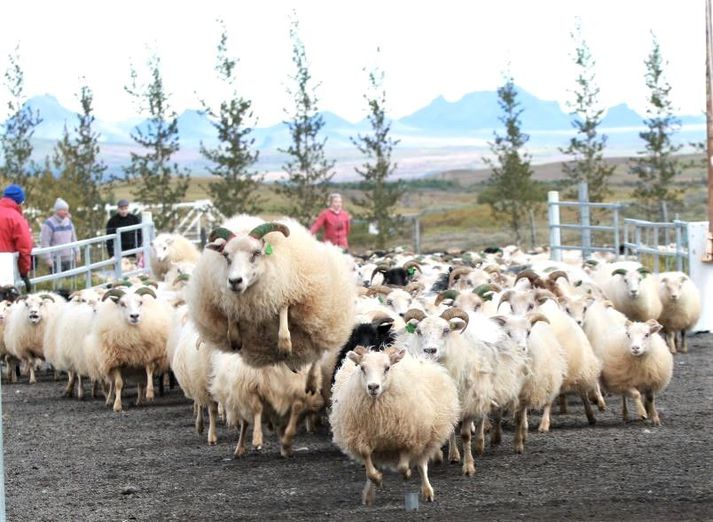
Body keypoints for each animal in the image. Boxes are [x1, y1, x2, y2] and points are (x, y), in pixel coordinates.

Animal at [186, 215, 356, 370]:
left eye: (256, 253)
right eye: (226, 255)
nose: (235, 281)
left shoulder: (285, 289)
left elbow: (283, 310)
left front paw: (285, 345)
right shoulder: (229, 296)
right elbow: (231, 313)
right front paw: (234, 338)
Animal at [330, 346, 458, 504]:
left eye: (387, 368)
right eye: (362, 368)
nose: (373, 387)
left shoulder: (407, 436)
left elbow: (403, 466)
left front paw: (407, 473)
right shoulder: (362, 437)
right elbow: (368, 462)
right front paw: (376, 479)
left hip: (425, 436)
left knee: (421, 464)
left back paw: (427, 491)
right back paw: (369, 494)